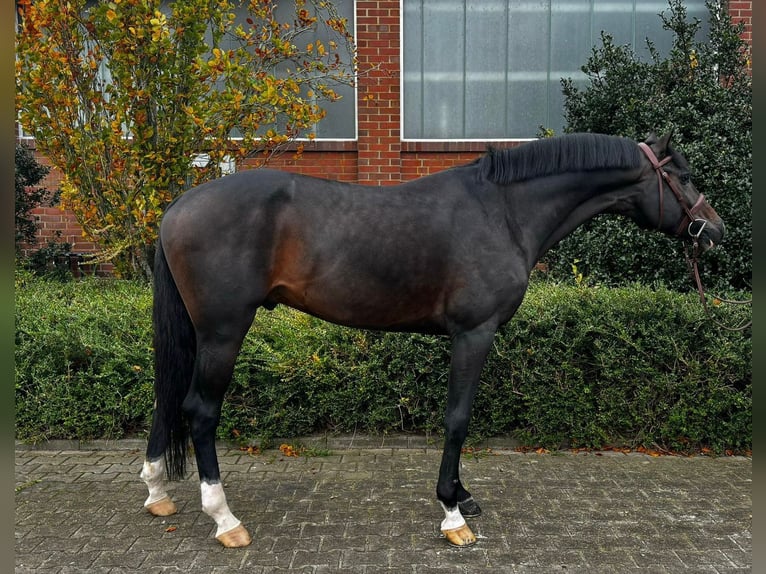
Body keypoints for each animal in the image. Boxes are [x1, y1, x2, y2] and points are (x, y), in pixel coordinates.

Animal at [142, 133, 728, 552]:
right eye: (682, 175)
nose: (715, 229)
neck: (504, 211)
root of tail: (178, 206)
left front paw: (463, 495)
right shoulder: (474, 333)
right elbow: (458, 419)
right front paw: (453, 513)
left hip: (197, 333)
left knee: (168, 397)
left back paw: (156, 492)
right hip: (223, 331)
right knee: (200, 410)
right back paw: (225, 520)